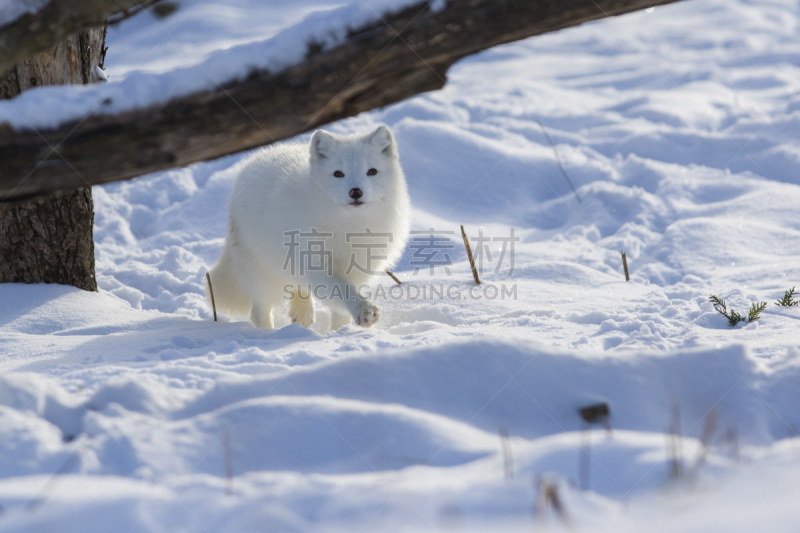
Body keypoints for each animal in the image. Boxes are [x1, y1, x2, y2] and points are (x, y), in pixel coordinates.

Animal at [208, 127, 406, 330]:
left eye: (372, 171)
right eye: (338, 173)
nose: (356, 191)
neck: (351, 227)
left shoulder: (359, 268)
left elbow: (341, 310)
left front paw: (340, 331)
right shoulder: (317, 266)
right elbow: (343, 290)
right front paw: (363, 311)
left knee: (297, 285)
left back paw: (302, 313)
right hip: (262, 272)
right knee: (259, 310)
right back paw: (268, 333)